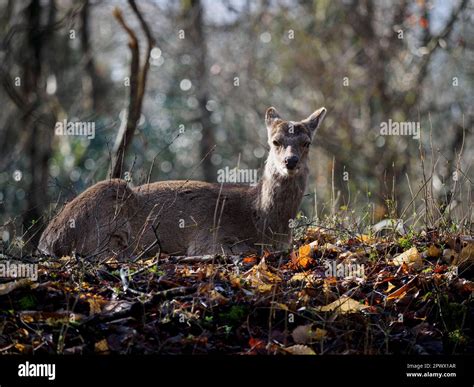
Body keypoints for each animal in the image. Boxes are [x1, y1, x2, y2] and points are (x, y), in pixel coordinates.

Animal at [39, 107, 326, 260]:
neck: (263, 223)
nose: (291, 161)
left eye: (307, 143)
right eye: (275, 141)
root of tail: (48, 241)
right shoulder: (210, 236)